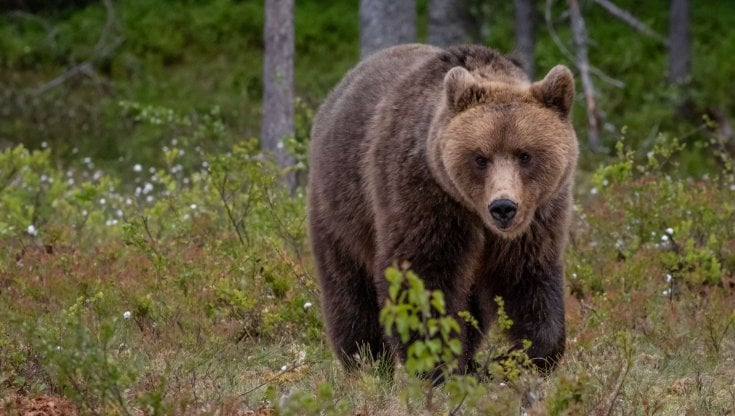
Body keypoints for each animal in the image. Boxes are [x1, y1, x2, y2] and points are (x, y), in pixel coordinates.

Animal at [308, 44, 576, 376]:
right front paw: (437, 363)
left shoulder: (537, 218)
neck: (475, 214)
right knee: (349, 288)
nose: (503, 207)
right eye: (480, 158)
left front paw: (515, 360)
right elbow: (422, 274)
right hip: (342, 205)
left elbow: (527, 278)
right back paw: (366, 361)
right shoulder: (426, 196)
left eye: (525, 155)